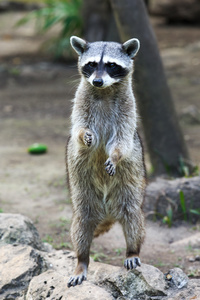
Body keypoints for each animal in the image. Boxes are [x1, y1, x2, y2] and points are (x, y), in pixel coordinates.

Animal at [66, 36, 146, 288]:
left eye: (111, 65)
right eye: (91, 64)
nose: (97, 81)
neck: (105, 90)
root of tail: (107, 212)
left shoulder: (128, 107)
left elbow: (122, 139)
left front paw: (115, 155)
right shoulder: (81, 101)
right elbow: (78, 128)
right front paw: (84, 136)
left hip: (129, 190)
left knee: (133, 219)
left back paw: (132, 250)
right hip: (82, 197)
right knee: (80, 228)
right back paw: (81, 260)